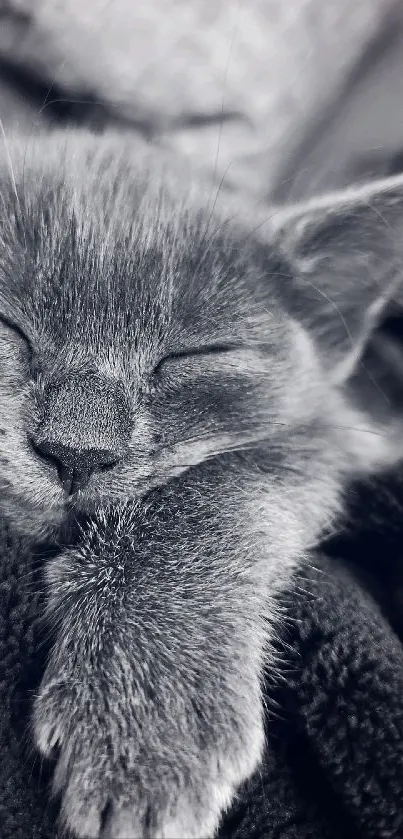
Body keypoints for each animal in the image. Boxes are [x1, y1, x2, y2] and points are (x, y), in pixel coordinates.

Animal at [0, 128, 403, 836]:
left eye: (192, 356)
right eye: (10, 327)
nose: (75, 451)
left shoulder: (335, 438)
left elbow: (215, 487)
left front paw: (145, 710)